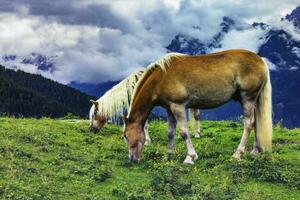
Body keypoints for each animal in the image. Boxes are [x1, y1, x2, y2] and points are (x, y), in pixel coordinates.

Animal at [123, 48, 274, 164]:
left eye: (126, 135)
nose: (132, 159)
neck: (161, 77)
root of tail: (260, 60)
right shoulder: (169, 109)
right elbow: (170, 132)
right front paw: (169, 155)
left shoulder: (178, 107)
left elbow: (184, 132)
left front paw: (190, 157)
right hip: (253, 101)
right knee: (256, 123)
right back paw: (255, 151)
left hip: (247, 98)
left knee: (249, 123)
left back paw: (238, 153)